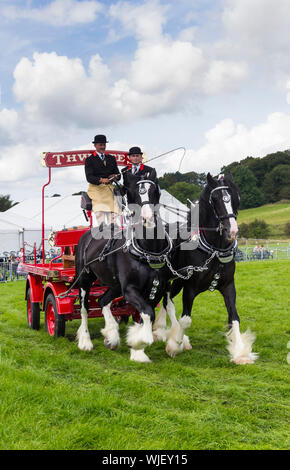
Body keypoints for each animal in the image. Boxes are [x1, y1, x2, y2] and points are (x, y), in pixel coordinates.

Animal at [74, 173, 170, 364]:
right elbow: (148, 313)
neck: (148, 250)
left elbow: (144, 315)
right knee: (84, 308)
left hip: (115, 284)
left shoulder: (157, 290)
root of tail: (87, 234)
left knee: (103, 300)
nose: (148, 219)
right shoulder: (130, 289)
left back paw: (111, 335)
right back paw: (86, 341)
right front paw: (139, 343)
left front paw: (137, 348)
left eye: (155, 190)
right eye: (133, 193)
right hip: (84, 279)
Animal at [154, 173, 258, 364]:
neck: (214, 249)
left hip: (176, 281)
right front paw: (175, 345)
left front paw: (241, 353)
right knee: (168, 302)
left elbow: (234, 318)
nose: (232, 231)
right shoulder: (190, 286)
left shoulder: (228, 285)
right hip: (172, 280)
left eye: (237, 198)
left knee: (166, 301)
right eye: (215, 199)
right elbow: (186, 320)